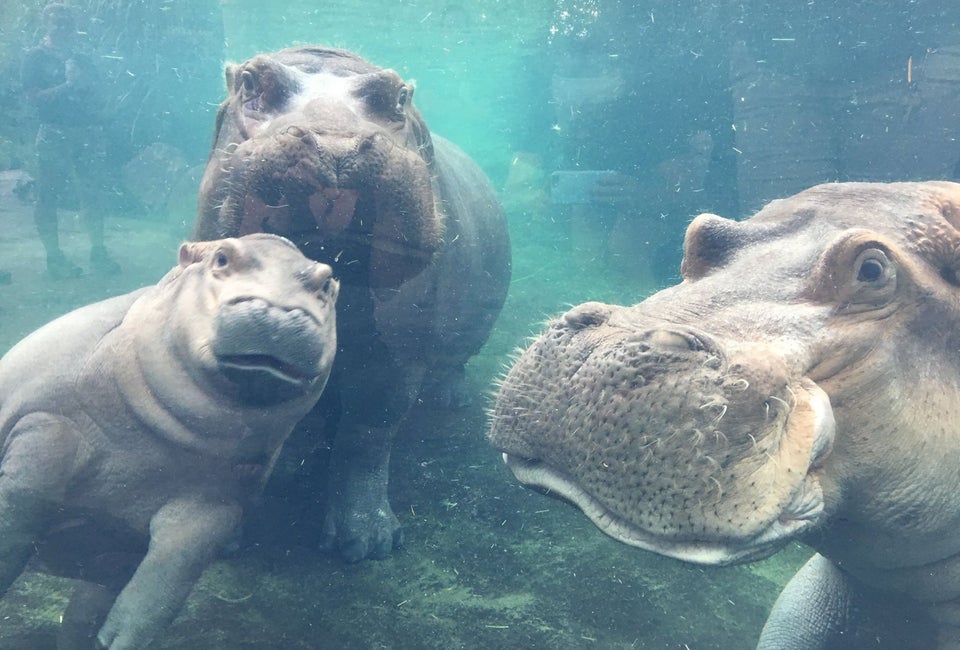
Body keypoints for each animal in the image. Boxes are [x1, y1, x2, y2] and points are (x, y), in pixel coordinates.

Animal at [0, 234, 338, 649]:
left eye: (326, 282)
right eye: (222, 257)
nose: (279, 310)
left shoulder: (216, 501)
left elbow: (166, 579)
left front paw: (118, 639)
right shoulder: (48, 427)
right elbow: (17, 513)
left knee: (82, 612)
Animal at [193, 46, 511, 561]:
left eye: (398, 95)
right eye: (250, 81)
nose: (333, 146)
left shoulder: (395, 352)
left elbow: (368, 434)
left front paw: (365, 544)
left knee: (451, 364)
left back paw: (450, 399)